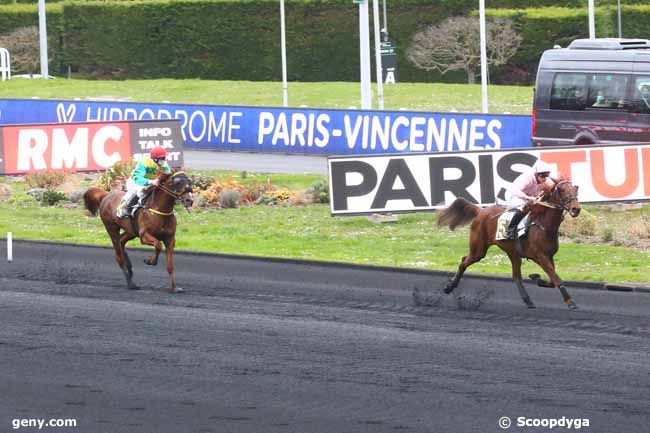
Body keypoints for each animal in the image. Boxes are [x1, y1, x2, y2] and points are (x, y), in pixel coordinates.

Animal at [438, 181, 580, 308]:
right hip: (479, 249)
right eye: (562, 190)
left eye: (575, 189)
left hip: (513, 253)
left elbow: (552, 280)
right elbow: (556, 278)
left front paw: (536, 277)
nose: (576, 209)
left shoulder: (549, 256)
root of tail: (480, 211)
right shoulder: (540, 256)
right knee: (464, 261)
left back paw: (528, 301)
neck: (544, 225)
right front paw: (570, 302)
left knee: (516, 276)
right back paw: (449, 287)